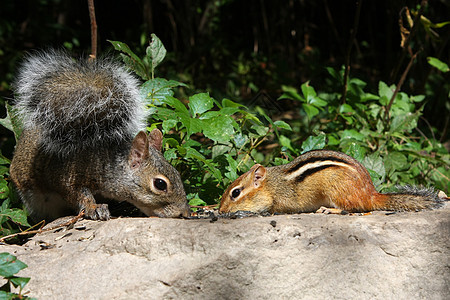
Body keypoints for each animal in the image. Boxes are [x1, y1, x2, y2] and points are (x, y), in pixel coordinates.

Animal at [10, 50, 190, 220]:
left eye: (177, 173)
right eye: (160, 184)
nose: (185, 212)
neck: (108, 161)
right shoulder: (64, 174)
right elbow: (77, 193)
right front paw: (93, 207)